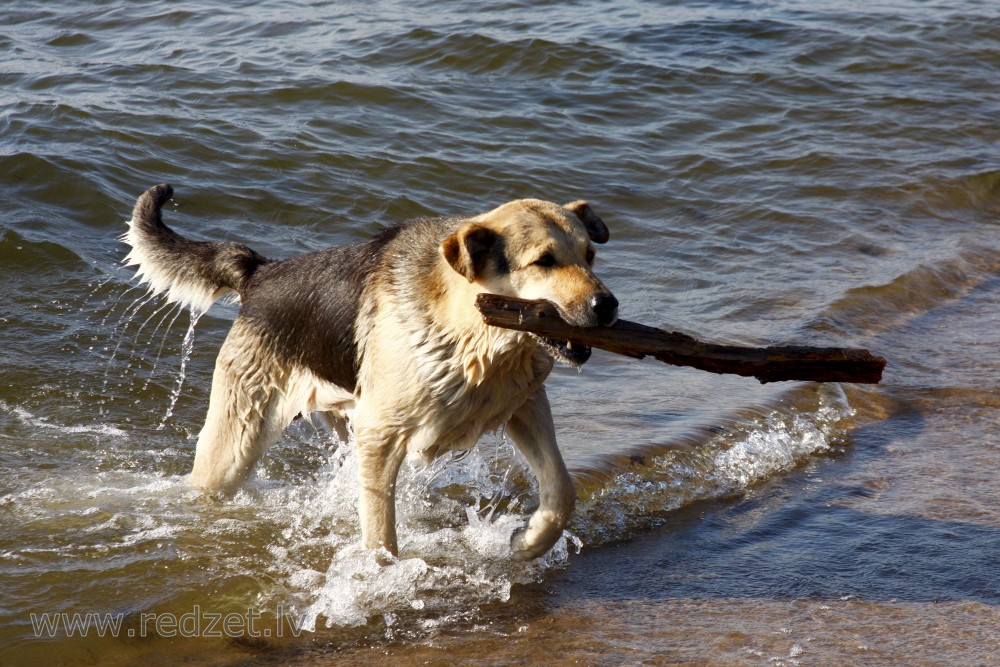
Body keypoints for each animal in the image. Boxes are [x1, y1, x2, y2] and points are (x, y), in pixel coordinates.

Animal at [125, 184, 616, 564]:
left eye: (590, 256)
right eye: (544, 261)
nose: (607, 306)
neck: (470, 330)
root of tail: (259, 273)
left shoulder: (524, 404)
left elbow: (562, 490)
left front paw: (530, 543)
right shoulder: (381, 435)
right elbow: (381, 535)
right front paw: (382, 580)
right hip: (235, 443)